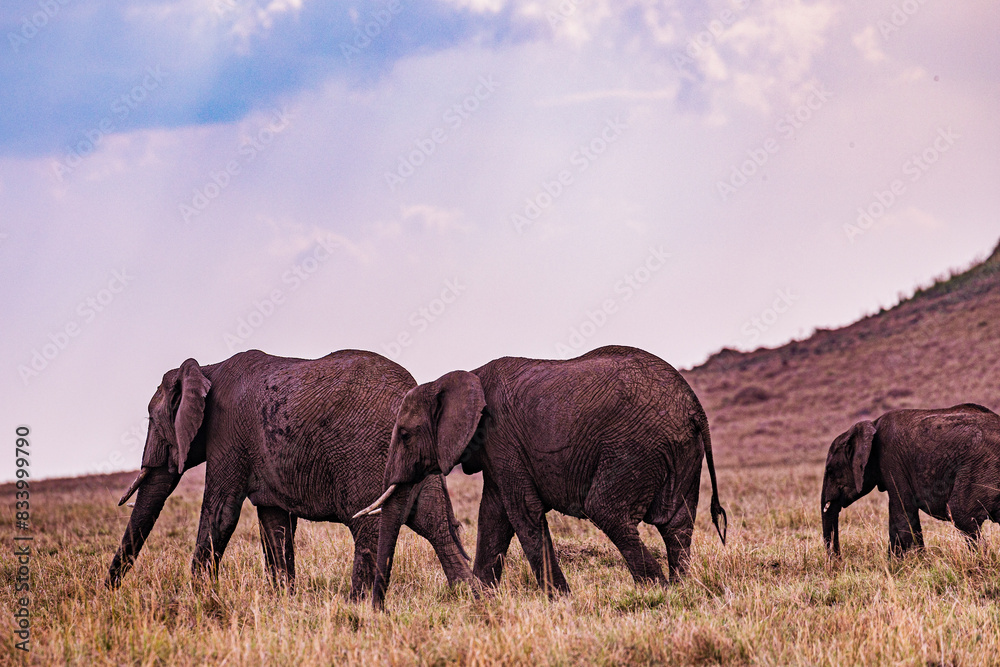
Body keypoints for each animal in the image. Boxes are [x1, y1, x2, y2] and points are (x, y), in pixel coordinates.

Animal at [105, 349, 475, 599]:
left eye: (152, 420)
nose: (107, 593)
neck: (208, 367)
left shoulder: (226, 432)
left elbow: (222, 512)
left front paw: (194, 599)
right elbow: (274, 522)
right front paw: (283, 599)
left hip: (367, 452)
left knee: (369, 525)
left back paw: (356, 606)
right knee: (436, 524)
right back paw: (472, 599)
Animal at [354, 345, 727, 607]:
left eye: (404, 434)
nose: (379, 611)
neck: (457, 377)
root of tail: (696, 408)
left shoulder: (501, 437)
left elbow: (522, 512)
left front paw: (561, 601)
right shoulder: (497, 449)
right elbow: (494, 517)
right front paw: (482, 601)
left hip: (635, 446)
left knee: (607, 511)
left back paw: (656, 593)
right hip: (679, 449)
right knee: (677, 523)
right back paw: (681, 591)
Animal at [822, 403, 1000, 556]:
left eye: (830, 470)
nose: (837, 561)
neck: (872, 424)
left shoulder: (892, 460)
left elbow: (903, 512)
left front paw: (911, 564)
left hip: (981, 466)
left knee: (960, 513)